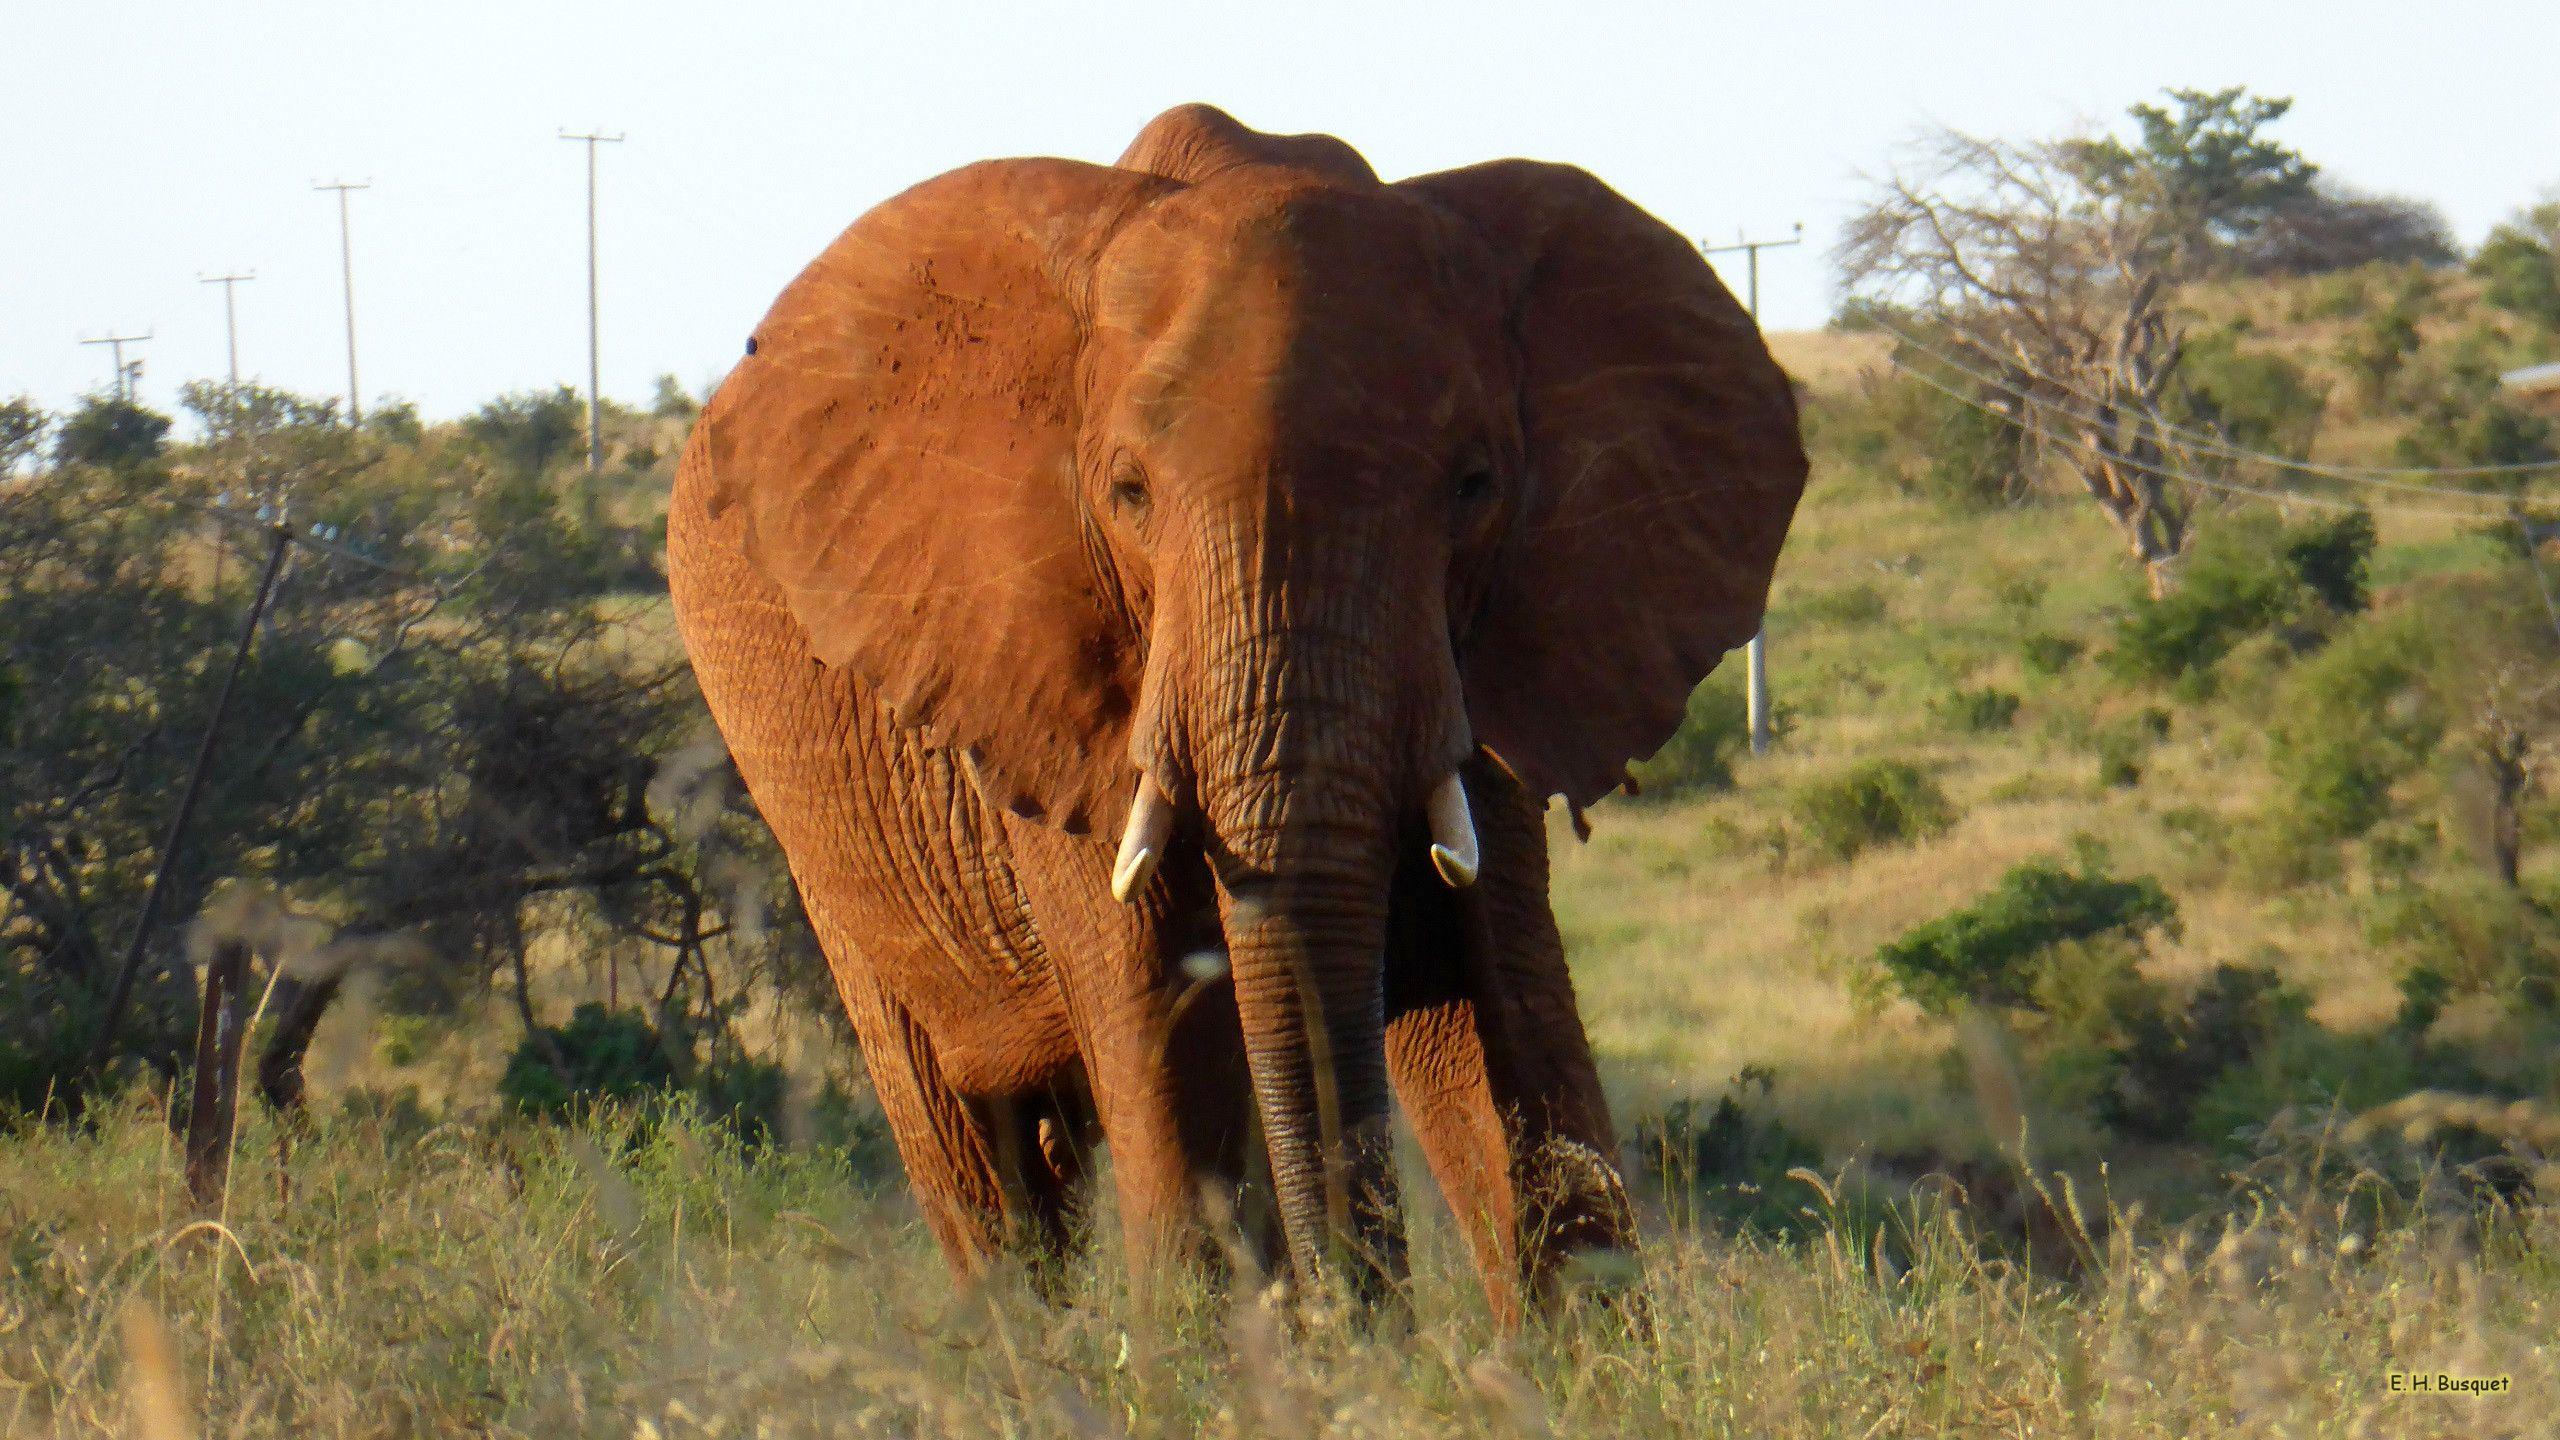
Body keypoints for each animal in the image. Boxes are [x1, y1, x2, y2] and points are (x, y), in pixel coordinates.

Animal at [666, 103, 1805, 1321]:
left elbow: (1502, 1004)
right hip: (825, 843)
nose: (1360, 1323)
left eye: (1474, 487)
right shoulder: (1050, 675)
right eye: (1126, 493)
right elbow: (1173, 1043)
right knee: (976, 1163)